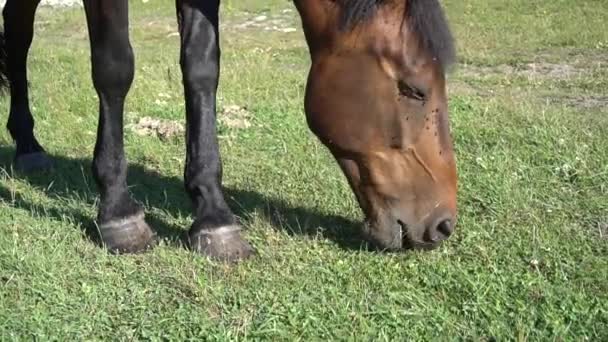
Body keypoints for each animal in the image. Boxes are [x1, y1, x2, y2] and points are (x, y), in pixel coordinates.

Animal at [0, 0, 456, 260]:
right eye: (413, 89)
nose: (443, 224)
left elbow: (202, 67)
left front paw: (213, 217)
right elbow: (114, 68)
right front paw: (117, 212)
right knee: (19, 34)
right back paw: (27, 144)